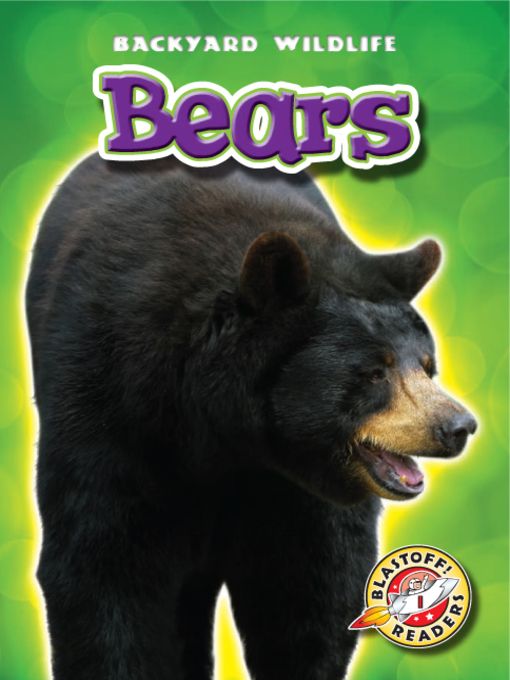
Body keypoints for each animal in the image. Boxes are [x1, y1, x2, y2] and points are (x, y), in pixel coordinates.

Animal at [26, 154, 477, 680]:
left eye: (426, 365)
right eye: (373, 372)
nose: (458, 426)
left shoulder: (293, 489)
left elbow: (309, 586)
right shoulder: (109, 398)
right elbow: (103, 565)